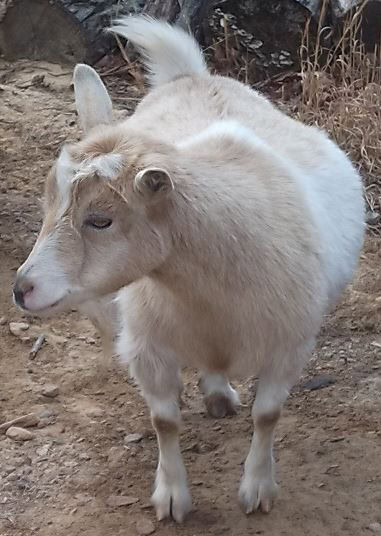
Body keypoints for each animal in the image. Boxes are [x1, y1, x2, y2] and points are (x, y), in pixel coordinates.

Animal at [13, 15, 364, 524]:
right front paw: (172, 496)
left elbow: (267, 415)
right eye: (46, 205)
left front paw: (257, 489)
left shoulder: (290, 345)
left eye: (100, 220)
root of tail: (190, 76)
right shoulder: (146, 345)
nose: (22, 289)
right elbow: (164, 421)